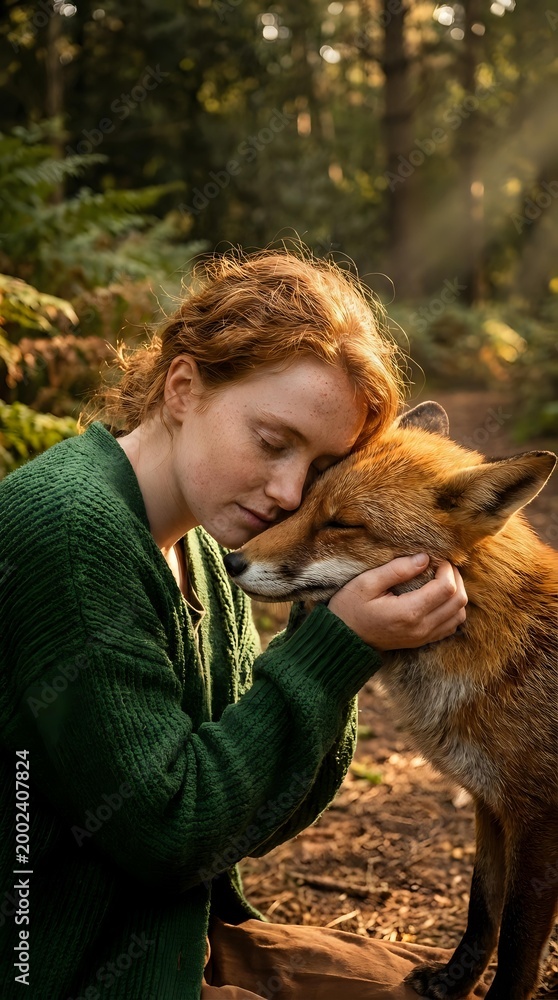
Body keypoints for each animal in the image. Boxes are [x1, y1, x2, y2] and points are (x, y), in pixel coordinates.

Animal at [224, 401, 558, 1000]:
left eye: (343, 523)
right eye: (305, 499)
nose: (234, 561)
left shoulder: (537, 817)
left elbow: (518, 946)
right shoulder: (490, 804)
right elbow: (482, 910)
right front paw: (453, 981)